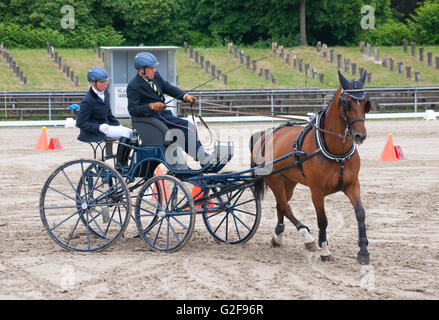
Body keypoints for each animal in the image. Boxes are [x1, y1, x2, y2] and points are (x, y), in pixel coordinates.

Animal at [251, 70, 372, 264]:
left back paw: (278, 237)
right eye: (346, 102)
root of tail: (265, 135)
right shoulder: (317, 191)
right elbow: (322, 221)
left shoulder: (352, 185)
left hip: (288, 181)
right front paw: (325, 250)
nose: (360, 135)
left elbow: (360, 213)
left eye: (365, 102)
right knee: (285, 206)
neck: (335, 152)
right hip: (274, 180)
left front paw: (363, 251)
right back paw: (307, 237)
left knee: (281, 205)